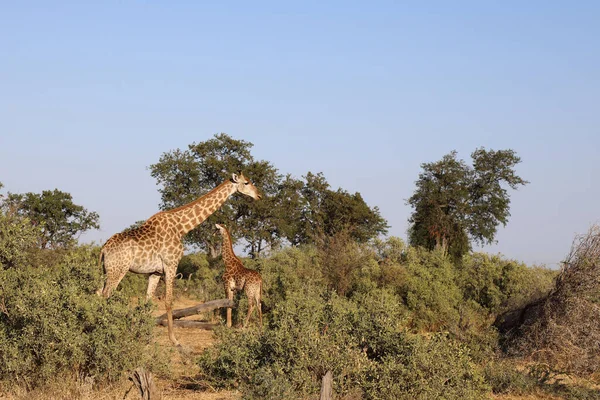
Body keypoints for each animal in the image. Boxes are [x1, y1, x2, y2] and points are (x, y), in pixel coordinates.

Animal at [98, 173, 260, 346]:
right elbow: (169, 301)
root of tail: (104, 249)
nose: (259, 195)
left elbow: (147, 301)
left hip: (106, 270)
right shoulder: (171, 264)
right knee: (106, 294)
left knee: (99, 293)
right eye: (246, 182)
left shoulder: (155, 271)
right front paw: (174, 340)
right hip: (118, 270)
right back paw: (106, 333)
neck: (181, 227)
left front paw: (142, 335)